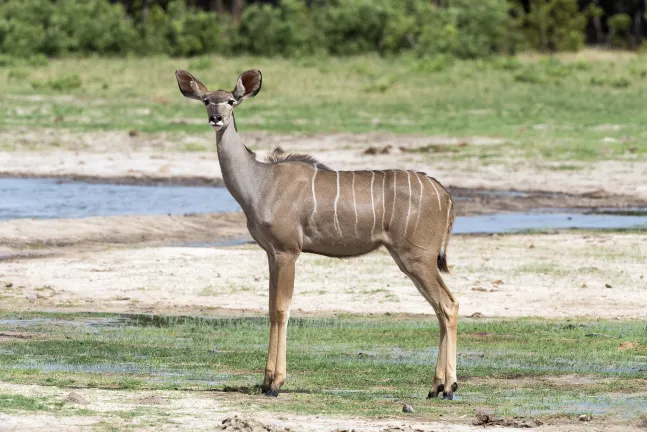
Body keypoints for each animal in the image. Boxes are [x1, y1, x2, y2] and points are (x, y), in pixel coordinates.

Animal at [176, 68, 460, 402]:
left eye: (231, 101)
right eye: (207, 100)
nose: (216, 118)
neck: (260, 183)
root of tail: (445, 195)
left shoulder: (288, 251)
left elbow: (282, 309)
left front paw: (274, 384)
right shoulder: (272, 253)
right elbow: (270, 308)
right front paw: (265, 381)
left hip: (417, 257)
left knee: (448, 305)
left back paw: (449, 387)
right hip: (411, 260)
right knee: (440, 308)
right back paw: (436, 387)